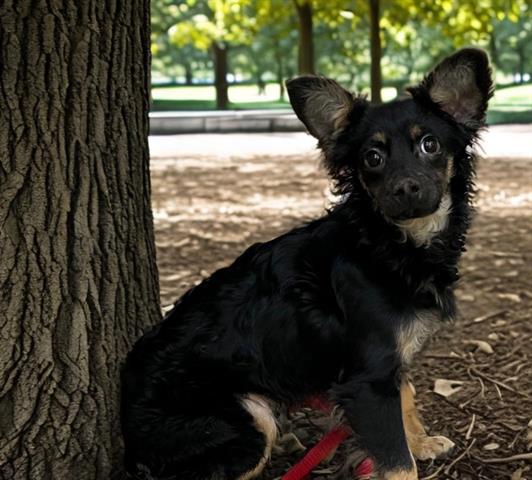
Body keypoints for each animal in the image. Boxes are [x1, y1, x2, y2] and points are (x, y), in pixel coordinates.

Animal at [120, 49, 490, 480]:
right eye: (372, 157)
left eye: (430, 144)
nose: (405, 188)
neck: (385, 244)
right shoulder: (368, 378)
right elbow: (397, 461)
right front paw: (410, 452)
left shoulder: (388, 362)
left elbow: (407, 398)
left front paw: (421, 442)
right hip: (249, 419)